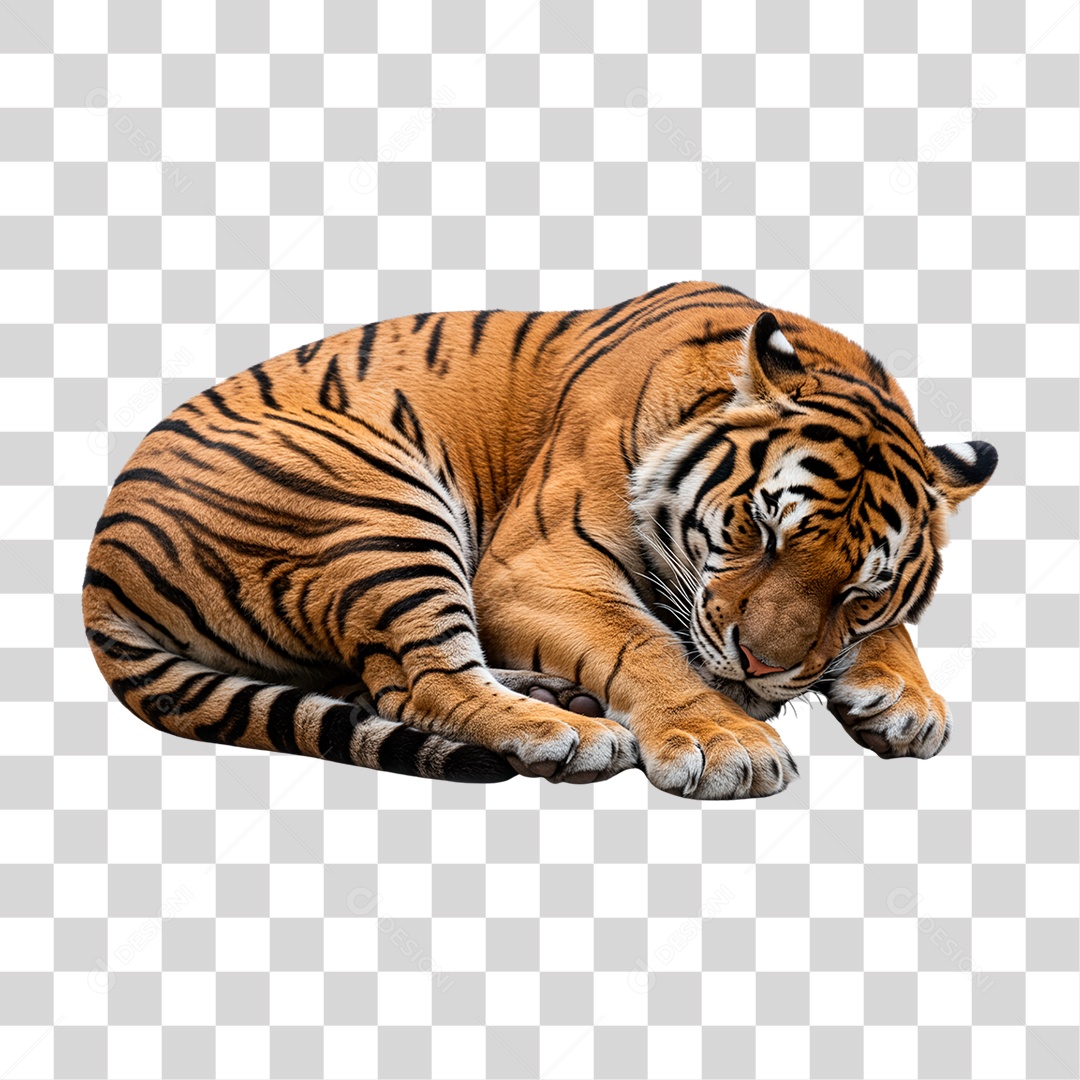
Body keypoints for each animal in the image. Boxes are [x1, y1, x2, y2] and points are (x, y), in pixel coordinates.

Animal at [82, 281, 997, 799]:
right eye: (762, 532)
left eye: (860, 590)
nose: (762, 667)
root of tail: (98, 573)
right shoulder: (532, 567)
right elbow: (643, 641)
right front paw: (724, 741)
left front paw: (904, 697)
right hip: (379, 504)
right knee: (419, 680)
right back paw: (573, 734)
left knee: (381, 682)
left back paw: (559, 696)